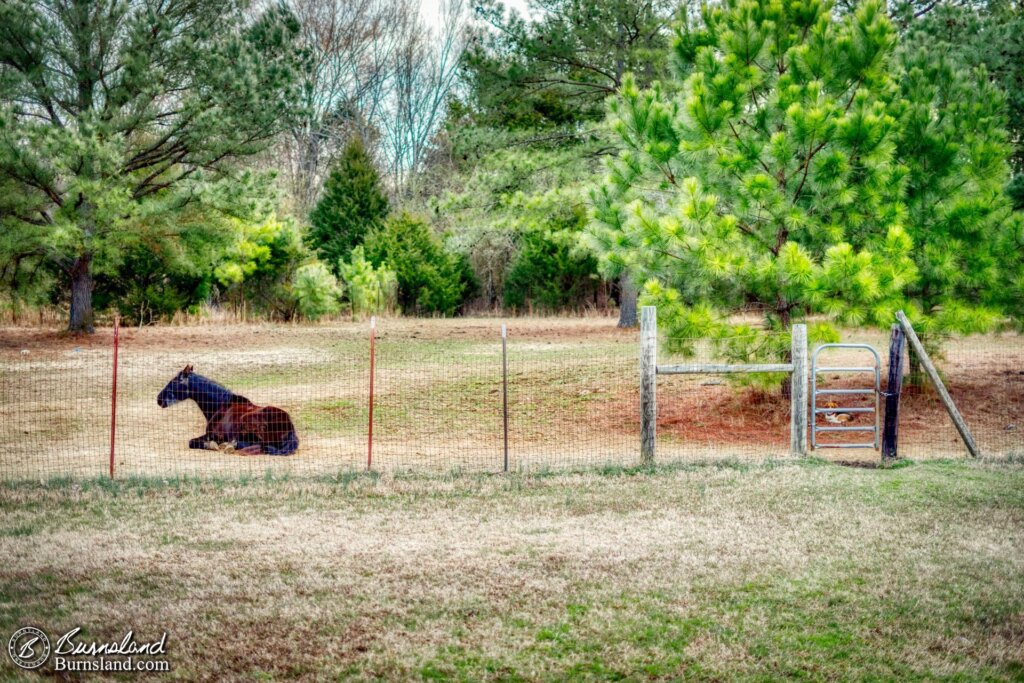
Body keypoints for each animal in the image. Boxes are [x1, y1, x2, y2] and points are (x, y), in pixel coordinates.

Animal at [155, 366, 299, 456]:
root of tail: (289, 427)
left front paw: (213, 445)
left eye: (174, 382)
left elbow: (192, 442)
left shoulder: (213, 435)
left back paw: (229, 446)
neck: (220, 405)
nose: (159, 399)